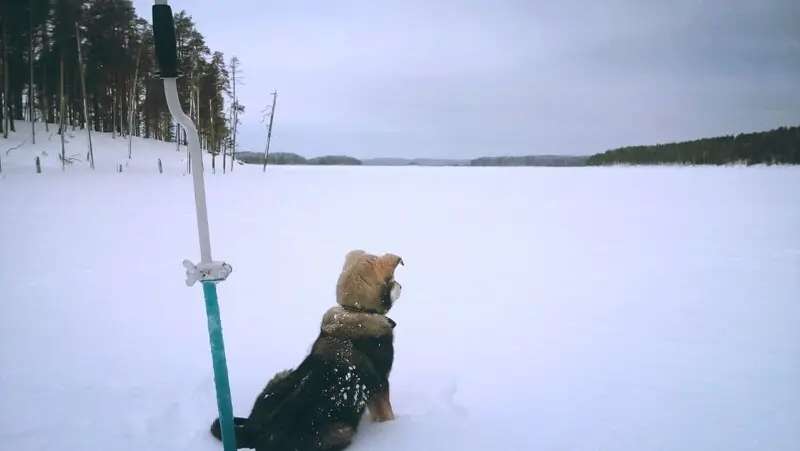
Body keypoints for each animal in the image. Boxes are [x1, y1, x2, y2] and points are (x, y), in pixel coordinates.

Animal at [209, 251, 404, 451]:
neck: (355, 311)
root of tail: (253, 433)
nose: (401, 286)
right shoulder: (381, 384)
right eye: (393, 279)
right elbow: (387, 414)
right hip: (341, 431)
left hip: (280, 376)